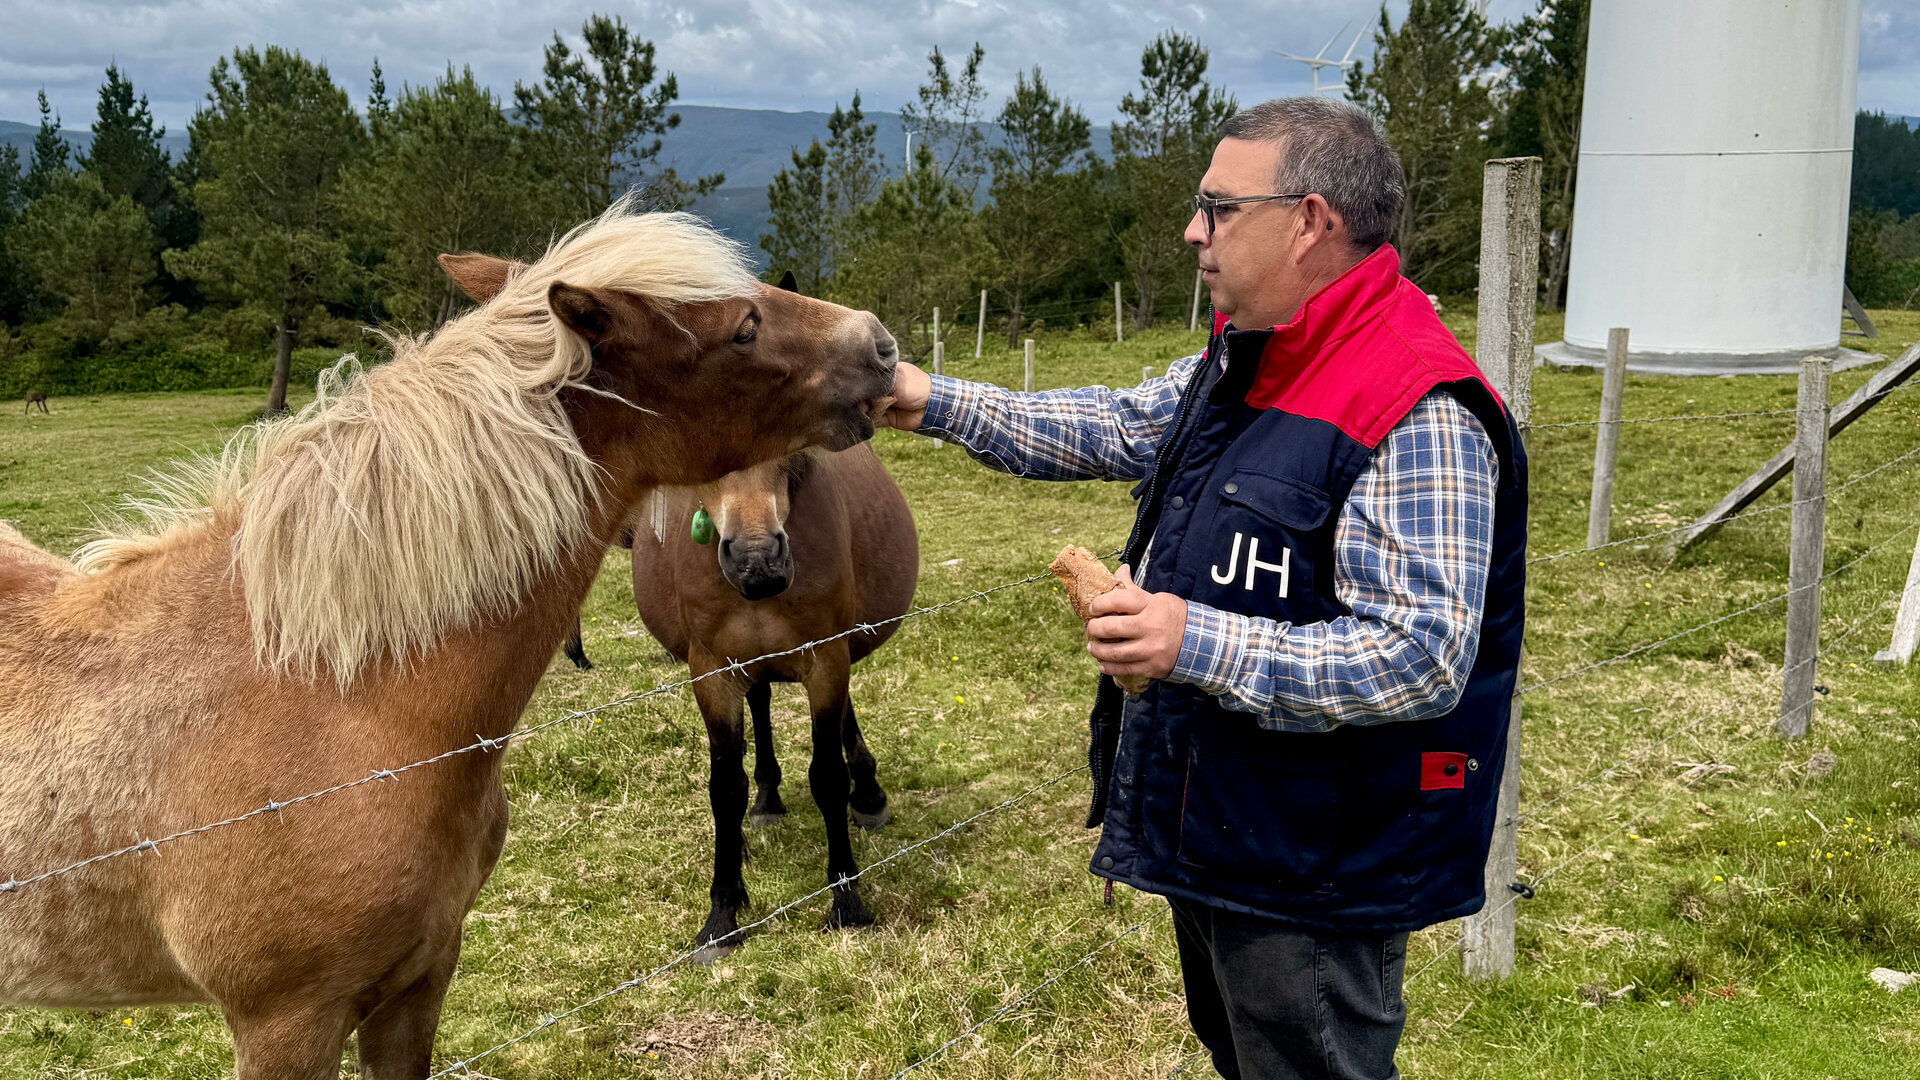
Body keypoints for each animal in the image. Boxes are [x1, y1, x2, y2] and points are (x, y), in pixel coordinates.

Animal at [631, 439, 918, 960]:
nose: (757, 559)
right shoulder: (712, 673)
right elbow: (725, 787)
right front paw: (722, 916)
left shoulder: (827, 660)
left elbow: (828, 776)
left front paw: (847, 902)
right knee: (760, 703)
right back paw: (763, 803)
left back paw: (867, 796)